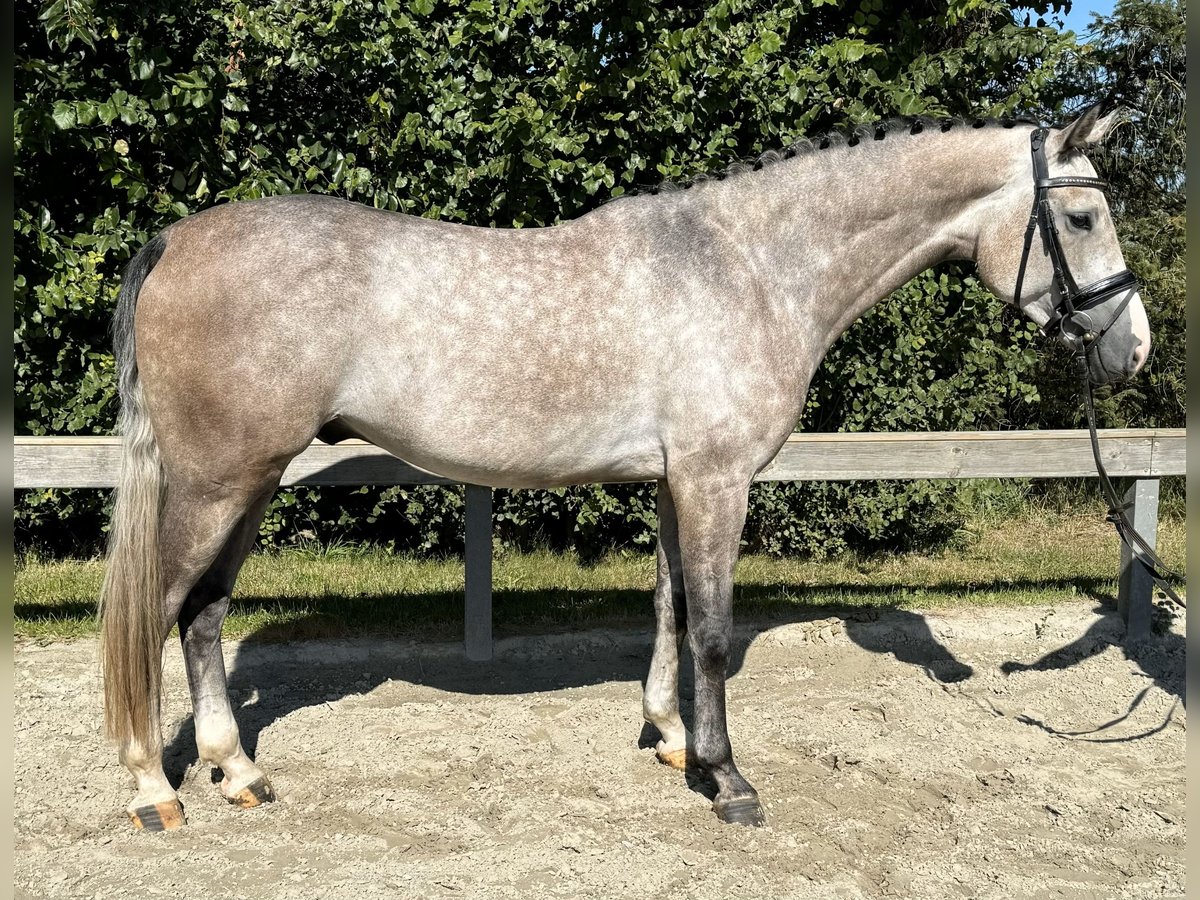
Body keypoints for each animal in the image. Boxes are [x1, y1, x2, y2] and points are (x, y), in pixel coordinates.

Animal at [100, 103, 1142, 830]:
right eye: (1082, 216)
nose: (1129, 350)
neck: (755, 267)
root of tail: (177, 238)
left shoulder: (680, 483)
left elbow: (671, 608)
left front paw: (675, 743)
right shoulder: (718, 480)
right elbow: (713, 631)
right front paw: (731, 782)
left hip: (250, 481)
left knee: (204, 615)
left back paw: (239, 773)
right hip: (218, 481)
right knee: (157, 612)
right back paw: (154, 788)